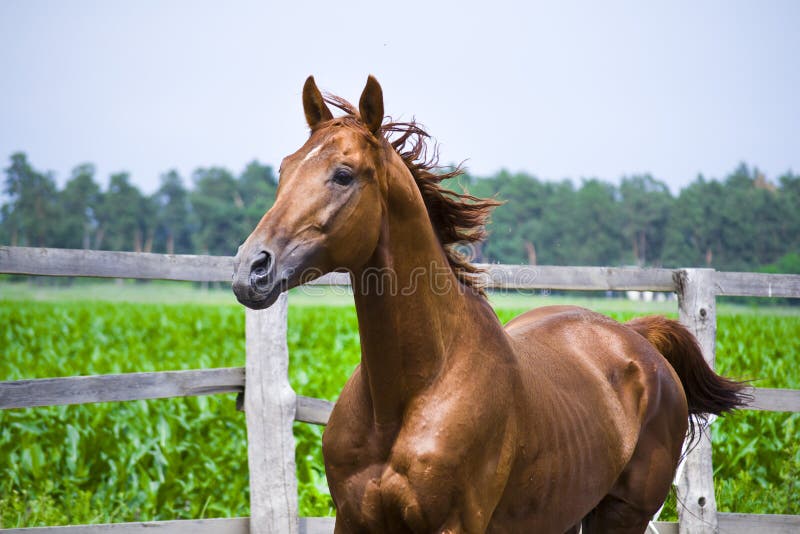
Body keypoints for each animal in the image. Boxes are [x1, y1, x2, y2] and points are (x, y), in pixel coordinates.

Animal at [232, 75, 748, 533]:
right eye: (284, 170)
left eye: (343, 174)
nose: (250, 269)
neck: (410, 394)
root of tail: (638, 341)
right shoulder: (354, 521)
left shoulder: (455, 525)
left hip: (623, 516)